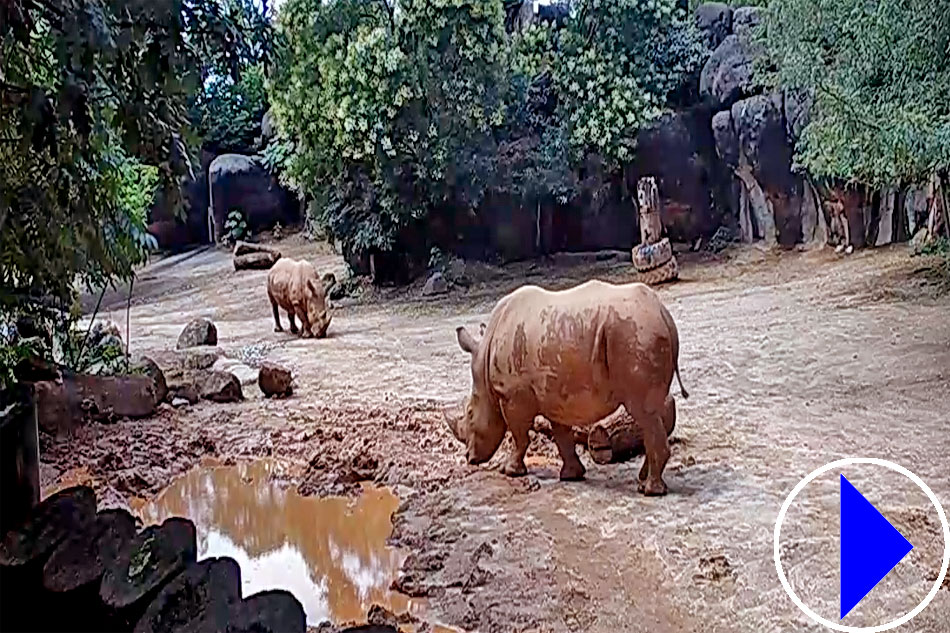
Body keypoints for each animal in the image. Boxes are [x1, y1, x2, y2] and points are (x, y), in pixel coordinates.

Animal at [450, 280, 688, 494]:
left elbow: (520, 436)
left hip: (636, 335)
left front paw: (509, 471)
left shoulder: (513, 396)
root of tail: (663, 313)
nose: (469, 458)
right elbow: (562, 435)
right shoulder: (555, 395)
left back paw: (650, 491)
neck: (485, 358)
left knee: (644, 412)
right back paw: (642, 482)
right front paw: (571, 475)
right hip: (638, 333)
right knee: (654, 414)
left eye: (469, 413)